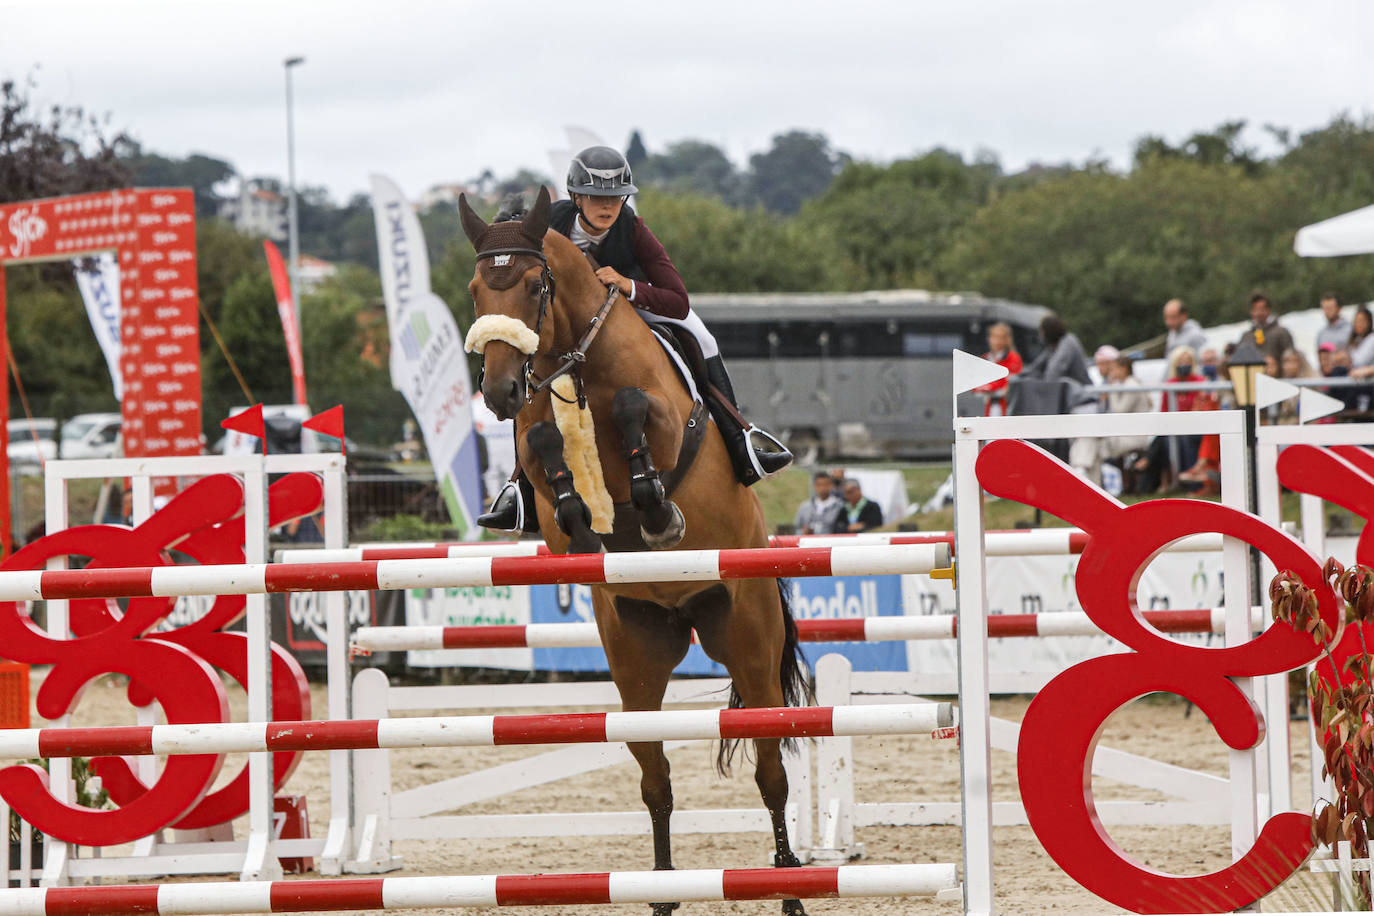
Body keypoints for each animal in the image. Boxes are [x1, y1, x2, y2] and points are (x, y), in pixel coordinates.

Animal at [458, 188, 813, 916]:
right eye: (476, 290)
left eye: (533, 285)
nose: (500, 392)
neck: (574, 360)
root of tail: (686, 612)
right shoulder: (536, 447)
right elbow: (545, 449)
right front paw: (586, 526)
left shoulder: (667, 420)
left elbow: (631, 410)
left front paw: (655, 510)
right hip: (636, 652)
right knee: (657, 780)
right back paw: (661, 892)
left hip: (747, 635)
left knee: (770, 771)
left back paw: (789, 890)